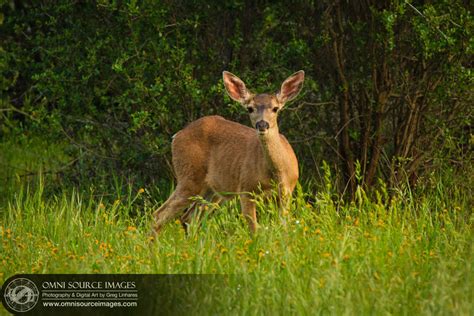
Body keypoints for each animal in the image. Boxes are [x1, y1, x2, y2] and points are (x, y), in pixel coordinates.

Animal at [154, 71, 306, 235]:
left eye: (275, 108)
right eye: (250, 108)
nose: (262, 124)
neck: (275, 173)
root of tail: (177, 136)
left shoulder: (286, 191)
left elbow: (284, 226)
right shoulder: (246, 188)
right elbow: (254, 228)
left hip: (212, 189)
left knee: (188, 217)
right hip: (189, 176)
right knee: (159, 214)